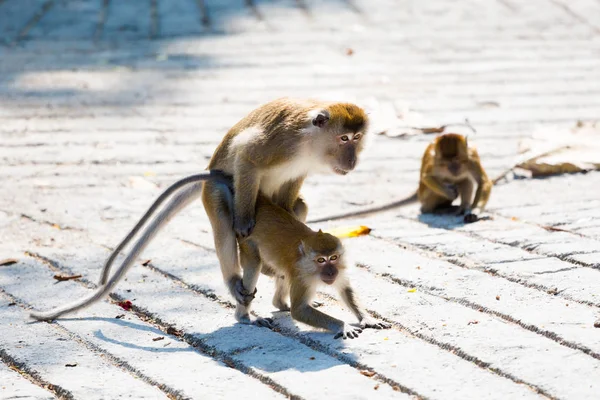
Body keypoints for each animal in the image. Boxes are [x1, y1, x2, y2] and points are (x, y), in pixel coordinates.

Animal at [32, 98, 372, 326]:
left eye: (357, 139)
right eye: (344, 138)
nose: (353, 159)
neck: (309, 141)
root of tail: (208, 174)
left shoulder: (301, 164)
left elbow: (291, 197)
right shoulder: (283, 142)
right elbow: (247, 157)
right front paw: (245, 221)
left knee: (299, 206)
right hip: (215, 192)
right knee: (224, 214)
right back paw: (236, 283)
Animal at [310, 133, 492, 223]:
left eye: (458, 161)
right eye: (446, 164)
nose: (454, 169)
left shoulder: (472, 157)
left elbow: (483, 182)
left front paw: (474, 211)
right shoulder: (434, 163)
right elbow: (427, 176)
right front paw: (450, 192)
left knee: (465, 180)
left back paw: (462, 207)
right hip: (425, 196)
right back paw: (437, 208)